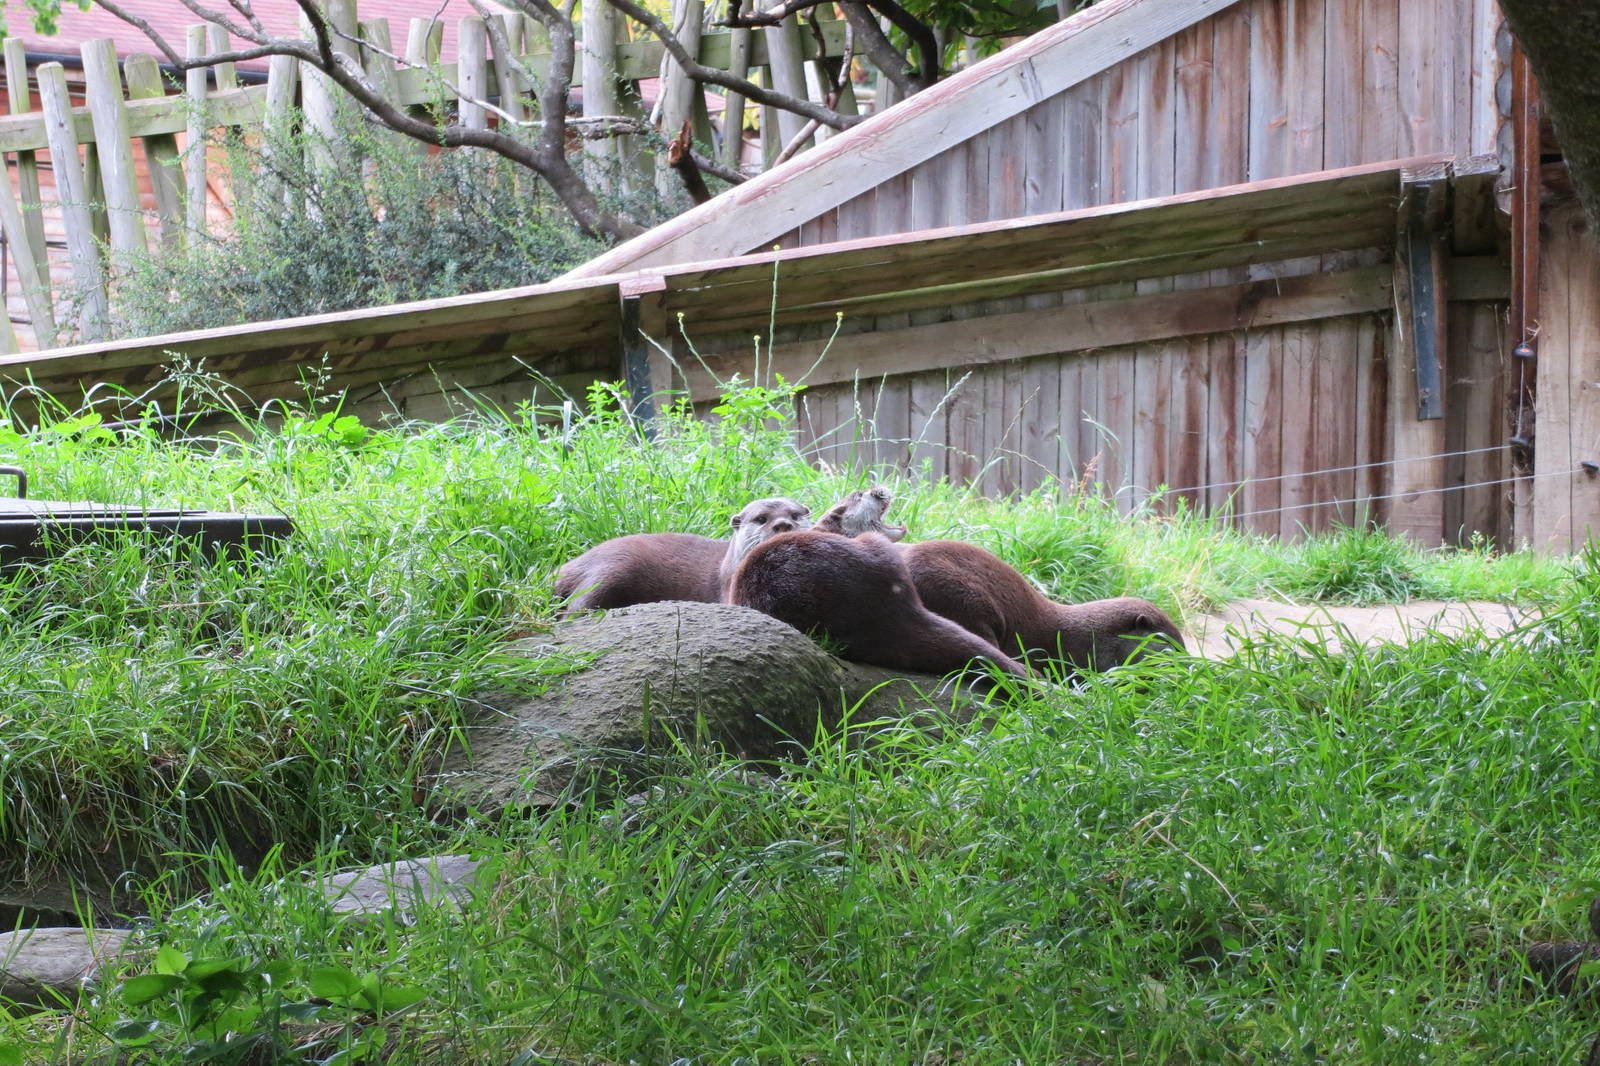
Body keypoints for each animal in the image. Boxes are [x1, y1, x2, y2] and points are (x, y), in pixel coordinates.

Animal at [554, 496, 813, 614]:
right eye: (761, 519)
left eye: (795, 515)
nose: (782, 524)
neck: (727, 570)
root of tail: (566, 568)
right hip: (609, 571)